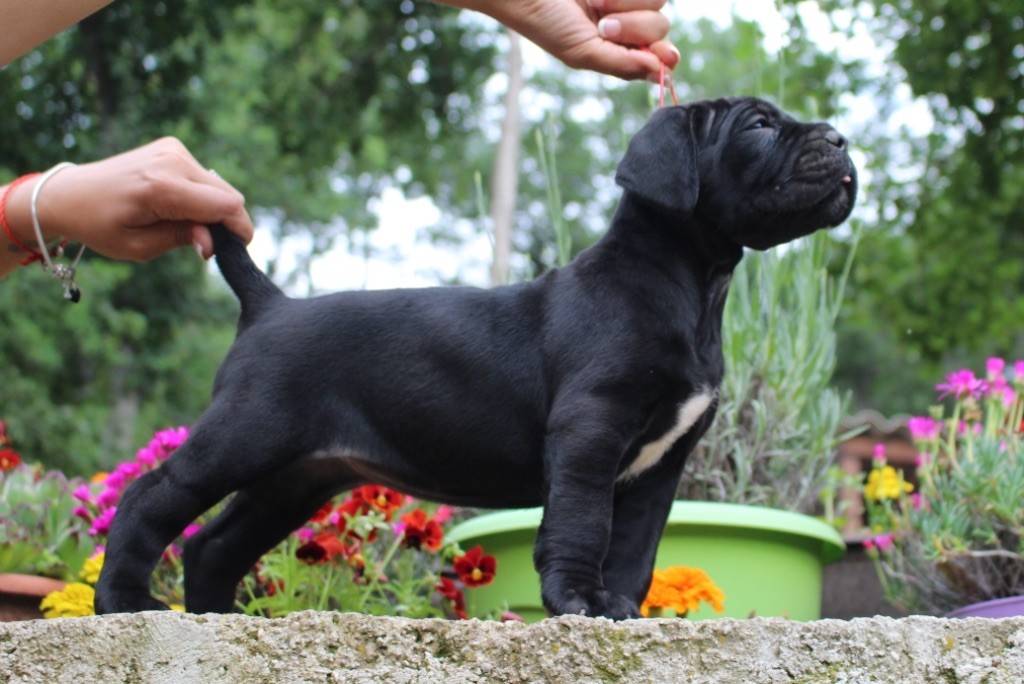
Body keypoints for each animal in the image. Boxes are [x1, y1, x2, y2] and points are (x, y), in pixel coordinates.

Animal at [96, 97, 856, 618]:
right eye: (758, 126)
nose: (842, 139)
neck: (690, 285)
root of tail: (269, 304)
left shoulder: (660, 464)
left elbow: (636, 550)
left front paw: (620, 610)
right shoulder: (591, 429)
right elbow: (583, 522)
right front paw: (580, 603)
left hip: (299, 476)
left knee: (214, 543)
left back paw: (218, 619)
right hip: (246, 433)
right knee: (148, 498)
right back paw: (123, 603)